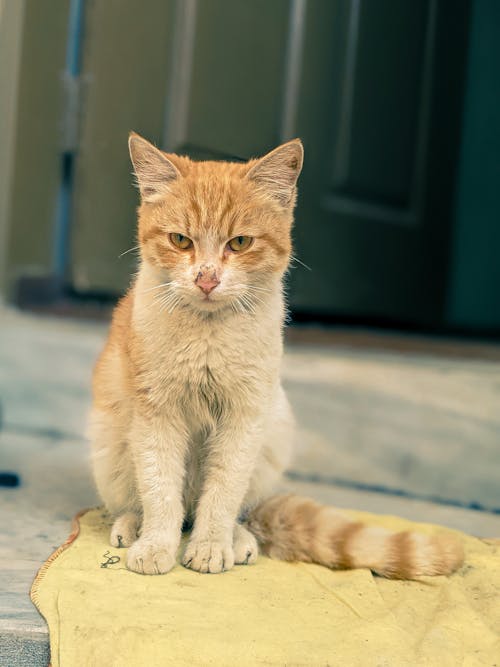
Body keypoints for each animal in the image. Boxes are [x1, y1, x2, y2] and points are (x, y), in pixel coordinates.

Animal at [88, 132, 462, 580]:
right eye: (180, 240)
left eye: (239, 243)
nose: (207, 279)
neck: (208, 336)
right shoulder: (157, 416)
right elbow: (160, 489)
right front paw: (156, 546)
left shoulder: (245, 418)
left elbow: (223, 494)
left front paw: (211, 547)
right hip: (111, 444)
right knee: (143, 504)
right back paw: (133, 527)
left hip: (274, 431)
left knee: (229, 511)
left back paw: (237, 539)